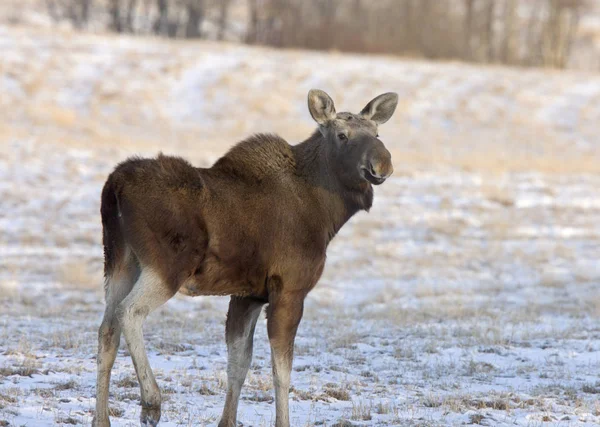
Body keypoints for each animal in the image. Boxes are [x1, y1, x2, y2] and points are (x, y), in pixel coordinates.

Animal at [92, 88, 398, 426]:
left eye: (377, 133)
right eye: (343, 135)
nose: (382, 163)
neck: (326, 214)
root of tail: (114, 186)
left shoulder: (247, 295)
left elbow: (238, 364)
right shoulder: (289, 288)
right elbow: (281, 370)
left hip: (119, 262)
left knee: (107, 331)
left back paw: (101, 419)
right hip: (168, 265)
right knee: (129, 312)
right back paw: (151, 400)